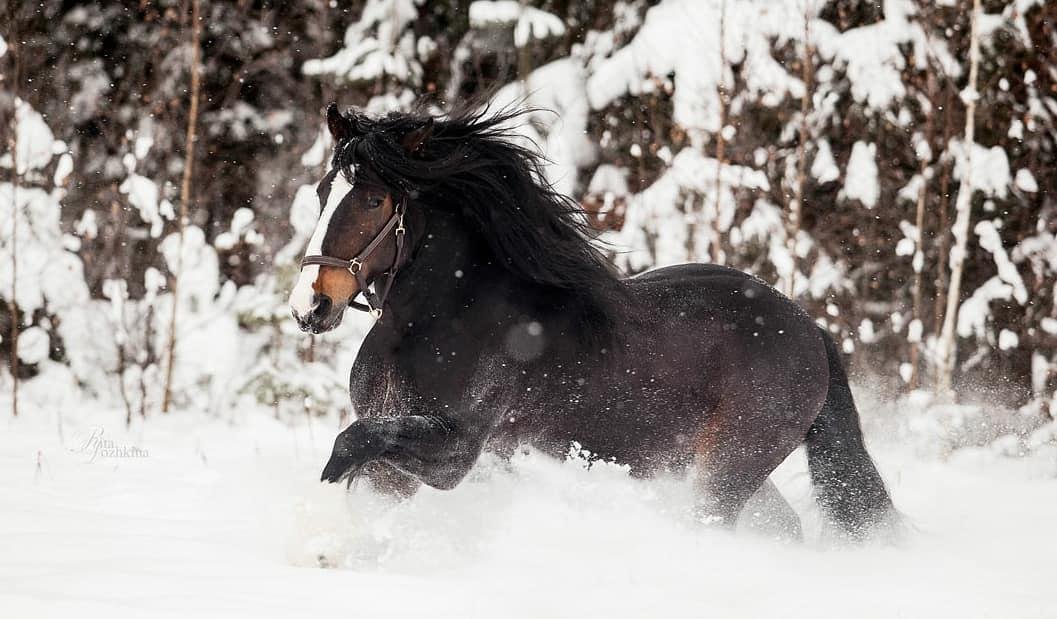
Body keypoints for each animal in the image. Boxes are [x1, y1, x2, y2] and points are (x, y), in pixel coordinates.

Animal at [288, 103, 897, 537]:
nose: (310, 307)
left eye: (372, 199)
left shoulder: (456, 452)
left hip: (728, 467)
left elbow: (353, 446)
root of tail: (811, 330)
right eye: (322, 191)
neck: (438, 321)